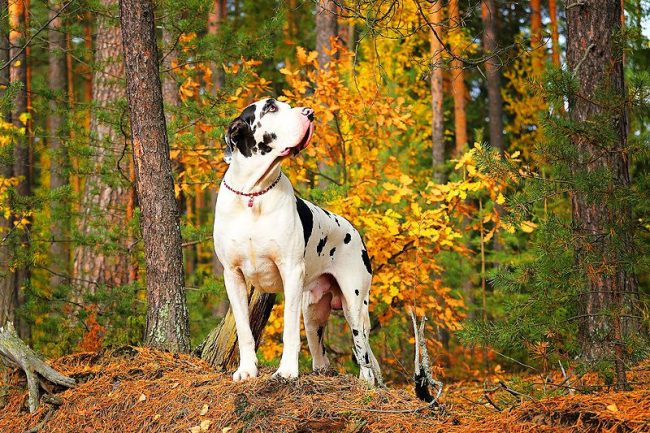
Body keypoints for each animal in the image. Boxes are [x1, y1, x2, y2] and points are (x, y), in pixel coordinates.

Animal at [214, 98, 380, 384]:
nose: (310, 113)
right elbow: (245, 331)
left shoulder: (290, 271)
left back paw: (365, 382)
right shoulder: (232, 275)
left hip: (354, 304)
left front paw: (287, 371)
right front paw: (246, 370)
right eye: (270, 108)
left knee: (363, 353)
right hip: (313, 312)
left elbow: (289, 330)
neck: (253, 194)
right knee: (320, 353)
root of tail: (355, 232)